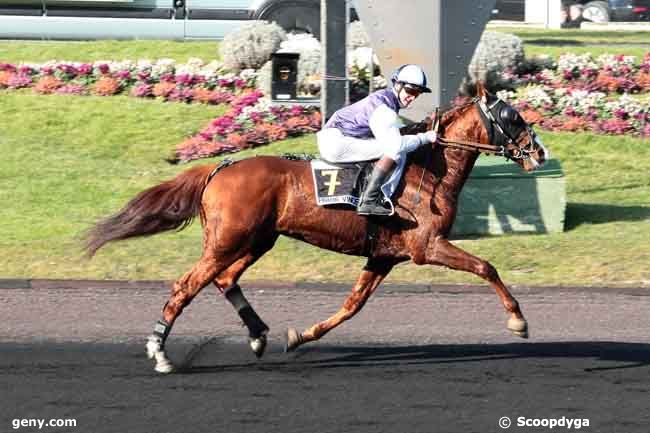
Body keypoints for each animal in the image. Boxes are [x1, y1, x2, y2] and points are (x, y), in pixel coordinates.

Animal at [86, 83, 548, 372]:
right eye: (512, 116)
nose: (539, 153)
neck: (429, 172)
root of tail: (219, 169)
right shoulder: (426, 245)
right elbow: (486, 267)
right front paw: (519, 321)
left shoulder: (383, 255)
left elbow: (350, 307)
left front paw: (299, 336)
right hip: (228, 240)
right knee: (187, 285)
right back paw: (160, 351)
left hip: (257, 240)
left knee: (225, 279)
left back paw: (258, 334)